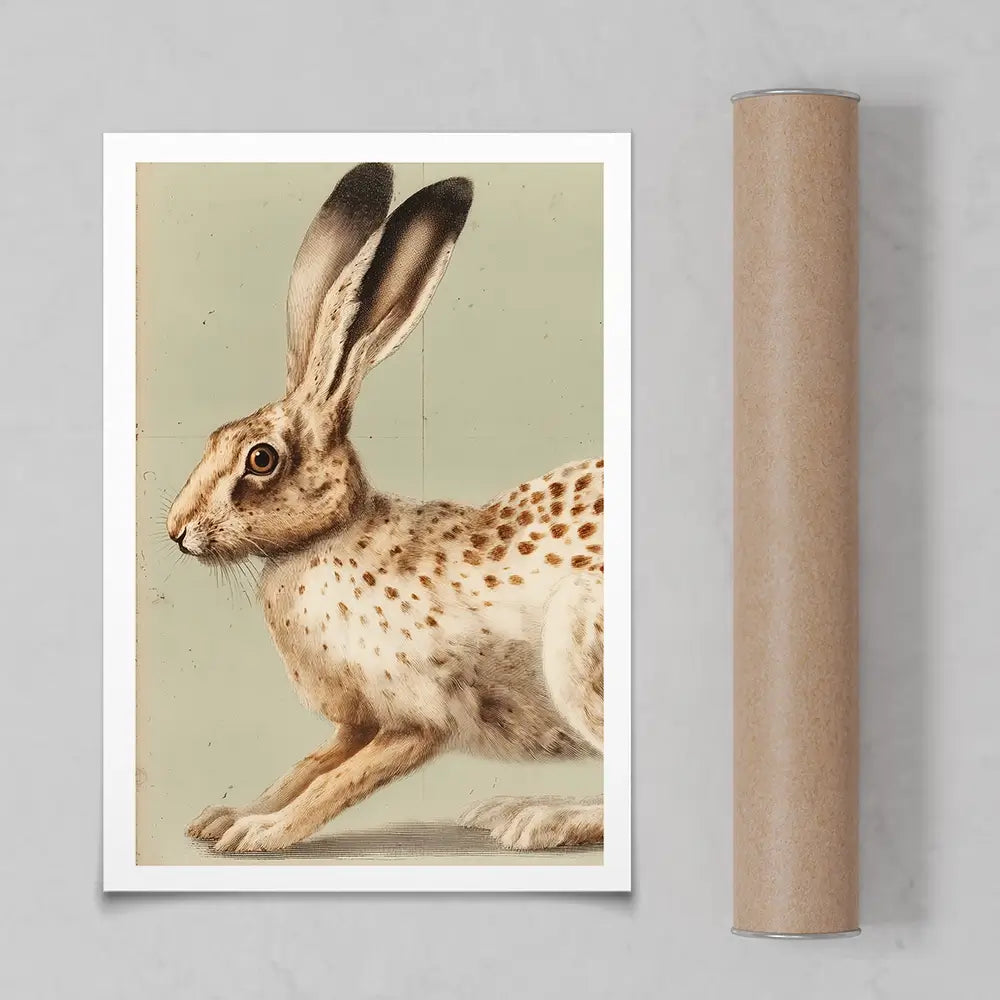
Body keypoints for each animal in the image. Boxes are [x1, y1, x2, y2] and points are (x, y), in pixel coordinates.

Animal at [168, 163, 605, 853]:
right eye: (214, 438)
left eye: (261, 460)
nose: (175, 530)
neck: (328, 540)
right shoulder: (356, 724)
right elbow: (307, 767)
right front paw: (227, 818)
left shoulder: (416, 720)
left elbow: (334, 784)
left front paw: (262, 834)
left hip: (579, 649)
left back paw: (538, 820)